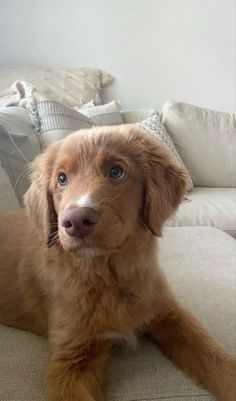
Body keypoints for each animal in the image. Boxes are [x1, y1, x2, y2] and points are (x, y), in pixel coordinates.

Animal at [0, 126, 235, 400]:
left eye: (116, 171)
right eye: (61, 179)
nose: (76, 221)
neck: (110, 273)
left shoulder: (171, 315)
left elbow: (216, 359)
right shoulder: (68, 362)